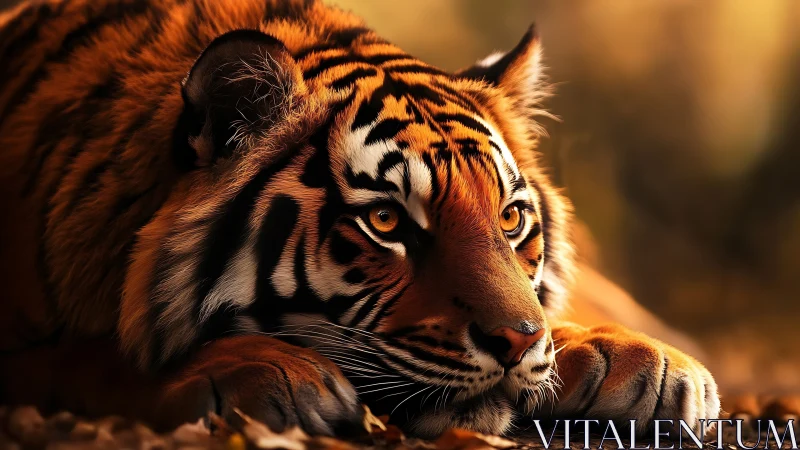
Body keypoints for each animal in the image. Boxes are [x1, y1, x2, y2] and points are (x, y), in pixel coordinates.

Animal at [0, 0, 720, 438]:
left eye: (511, 218)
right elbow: (86, 355)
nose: (518, 343)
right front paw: (274, 374)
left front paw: (633, 359)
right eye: (386, 221)